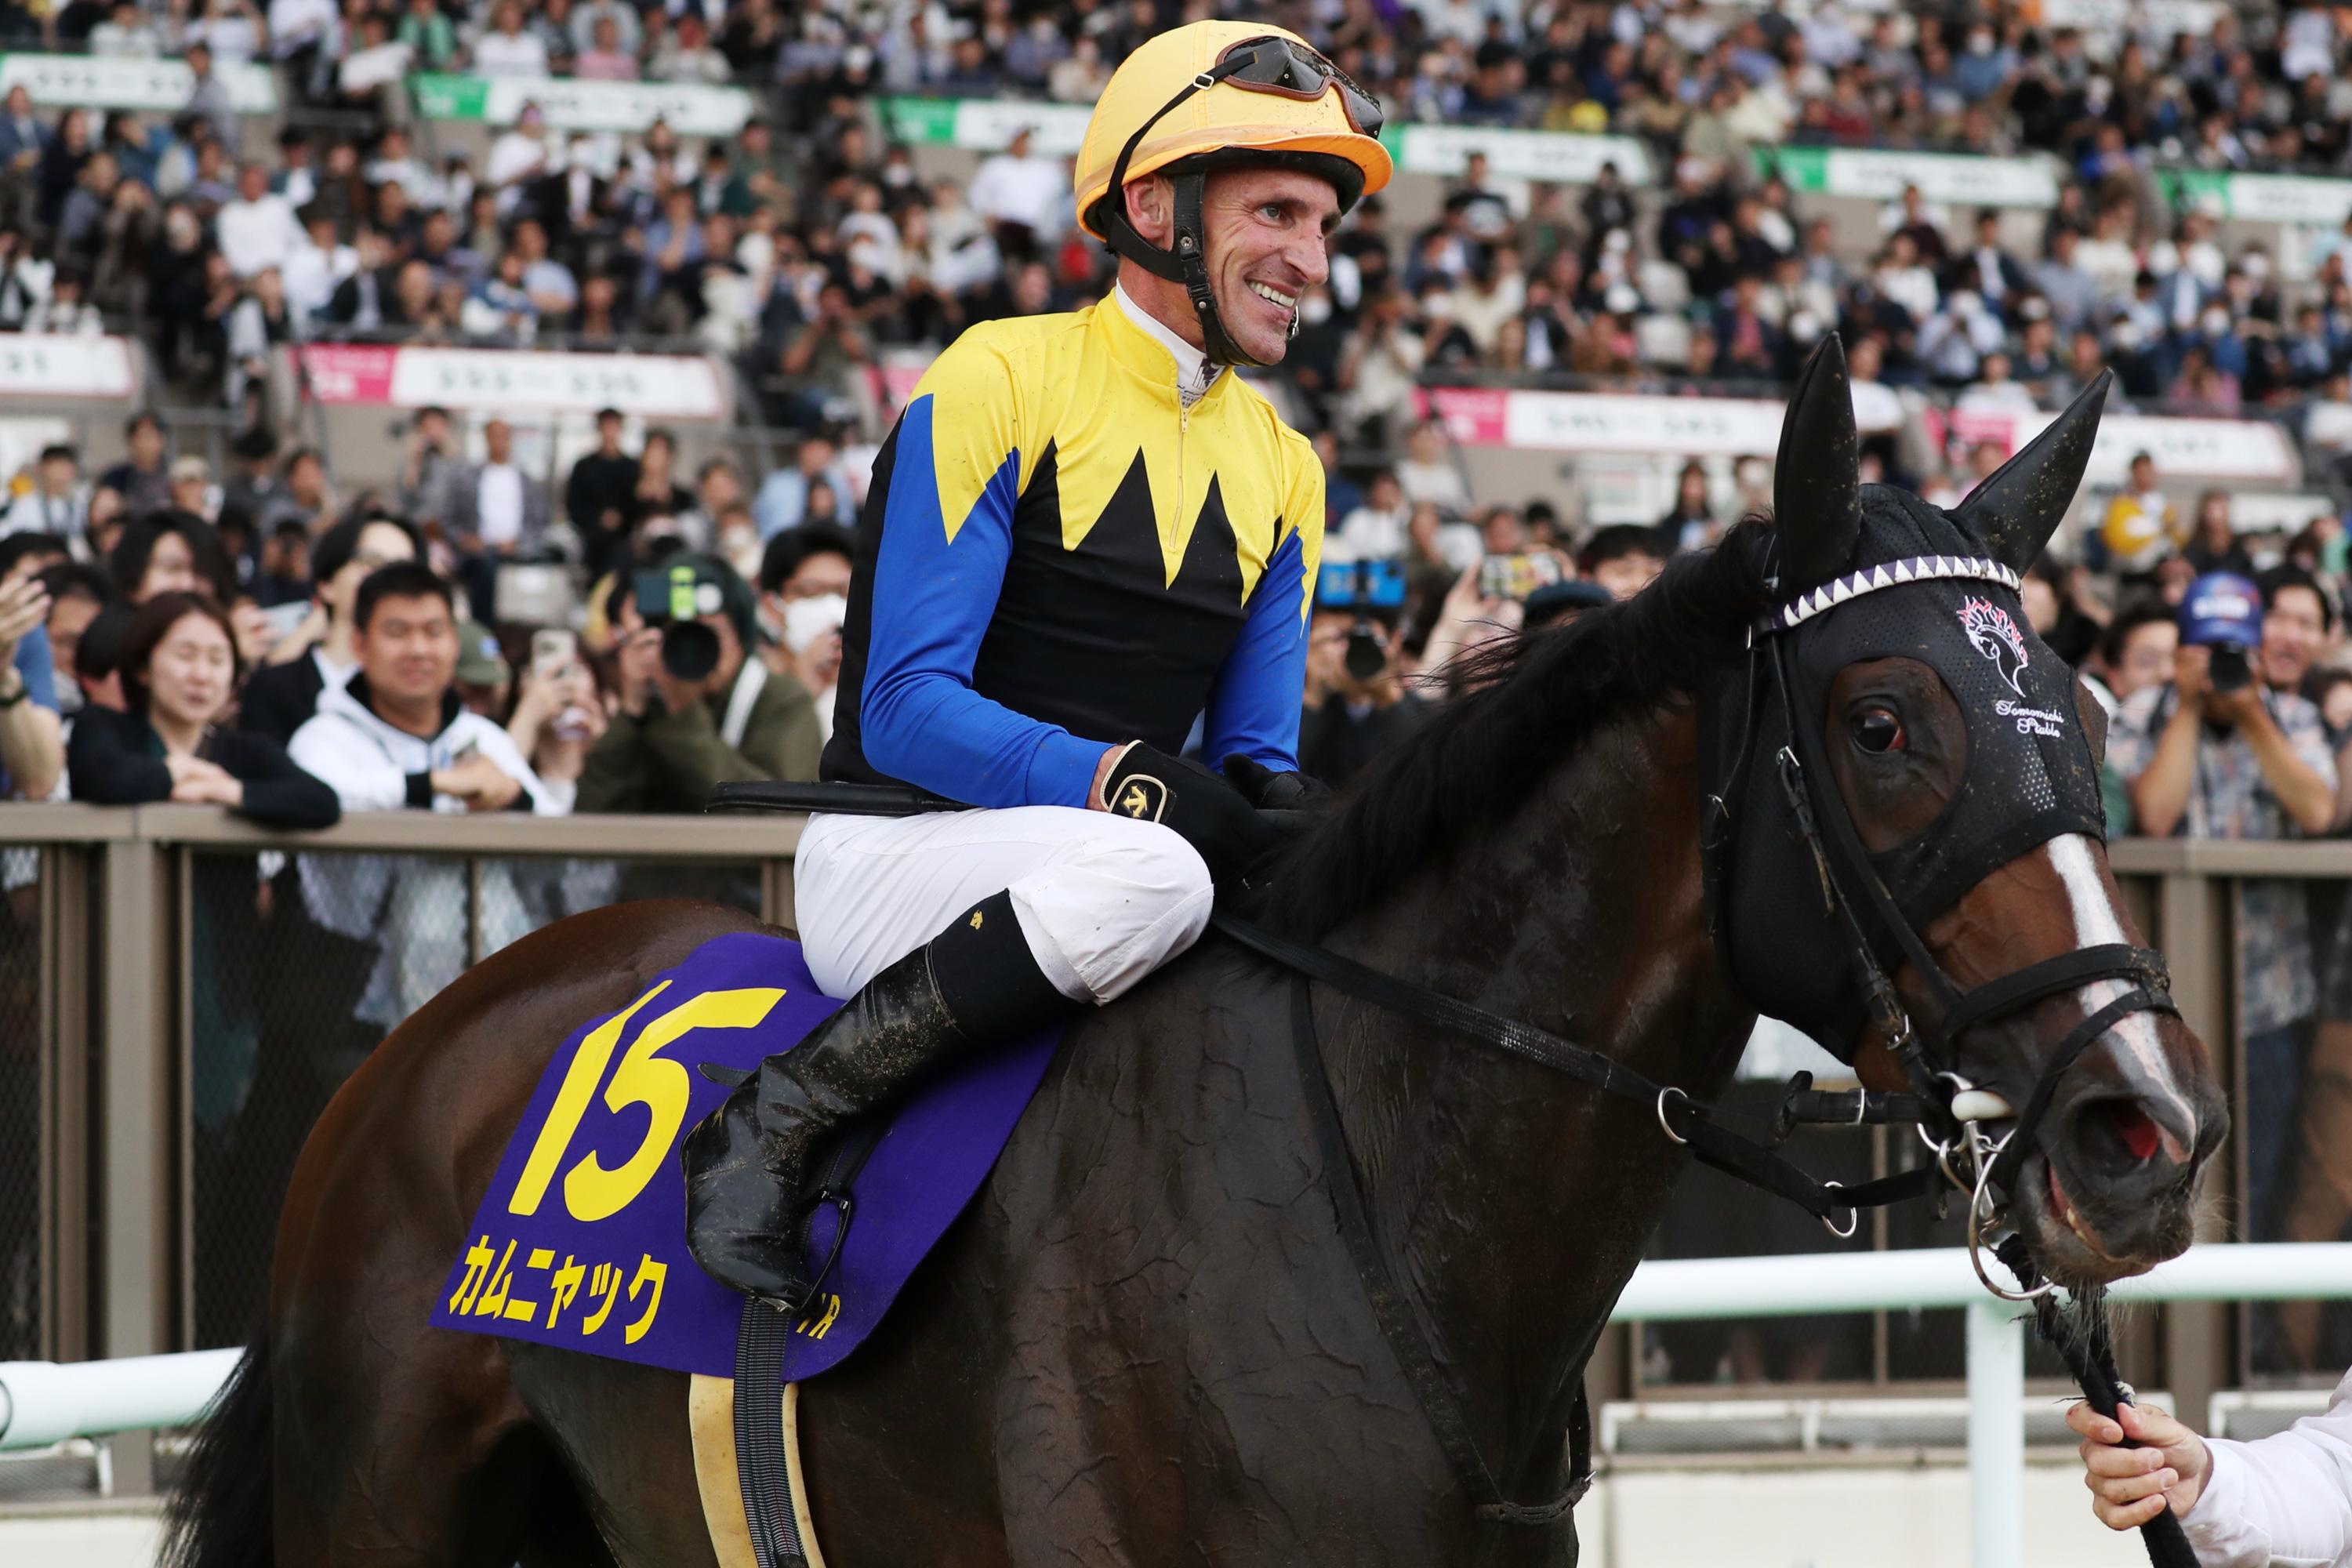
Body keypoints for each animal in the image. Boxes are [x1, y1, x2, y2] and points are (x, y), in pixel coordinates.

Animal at [166, 343, 2227, 1567]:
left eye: (2069, 709)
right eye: (1882, 722)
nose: (2139, 1127)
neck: (1380, 1195)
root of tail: (436, 1035)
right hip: (379, 1512)